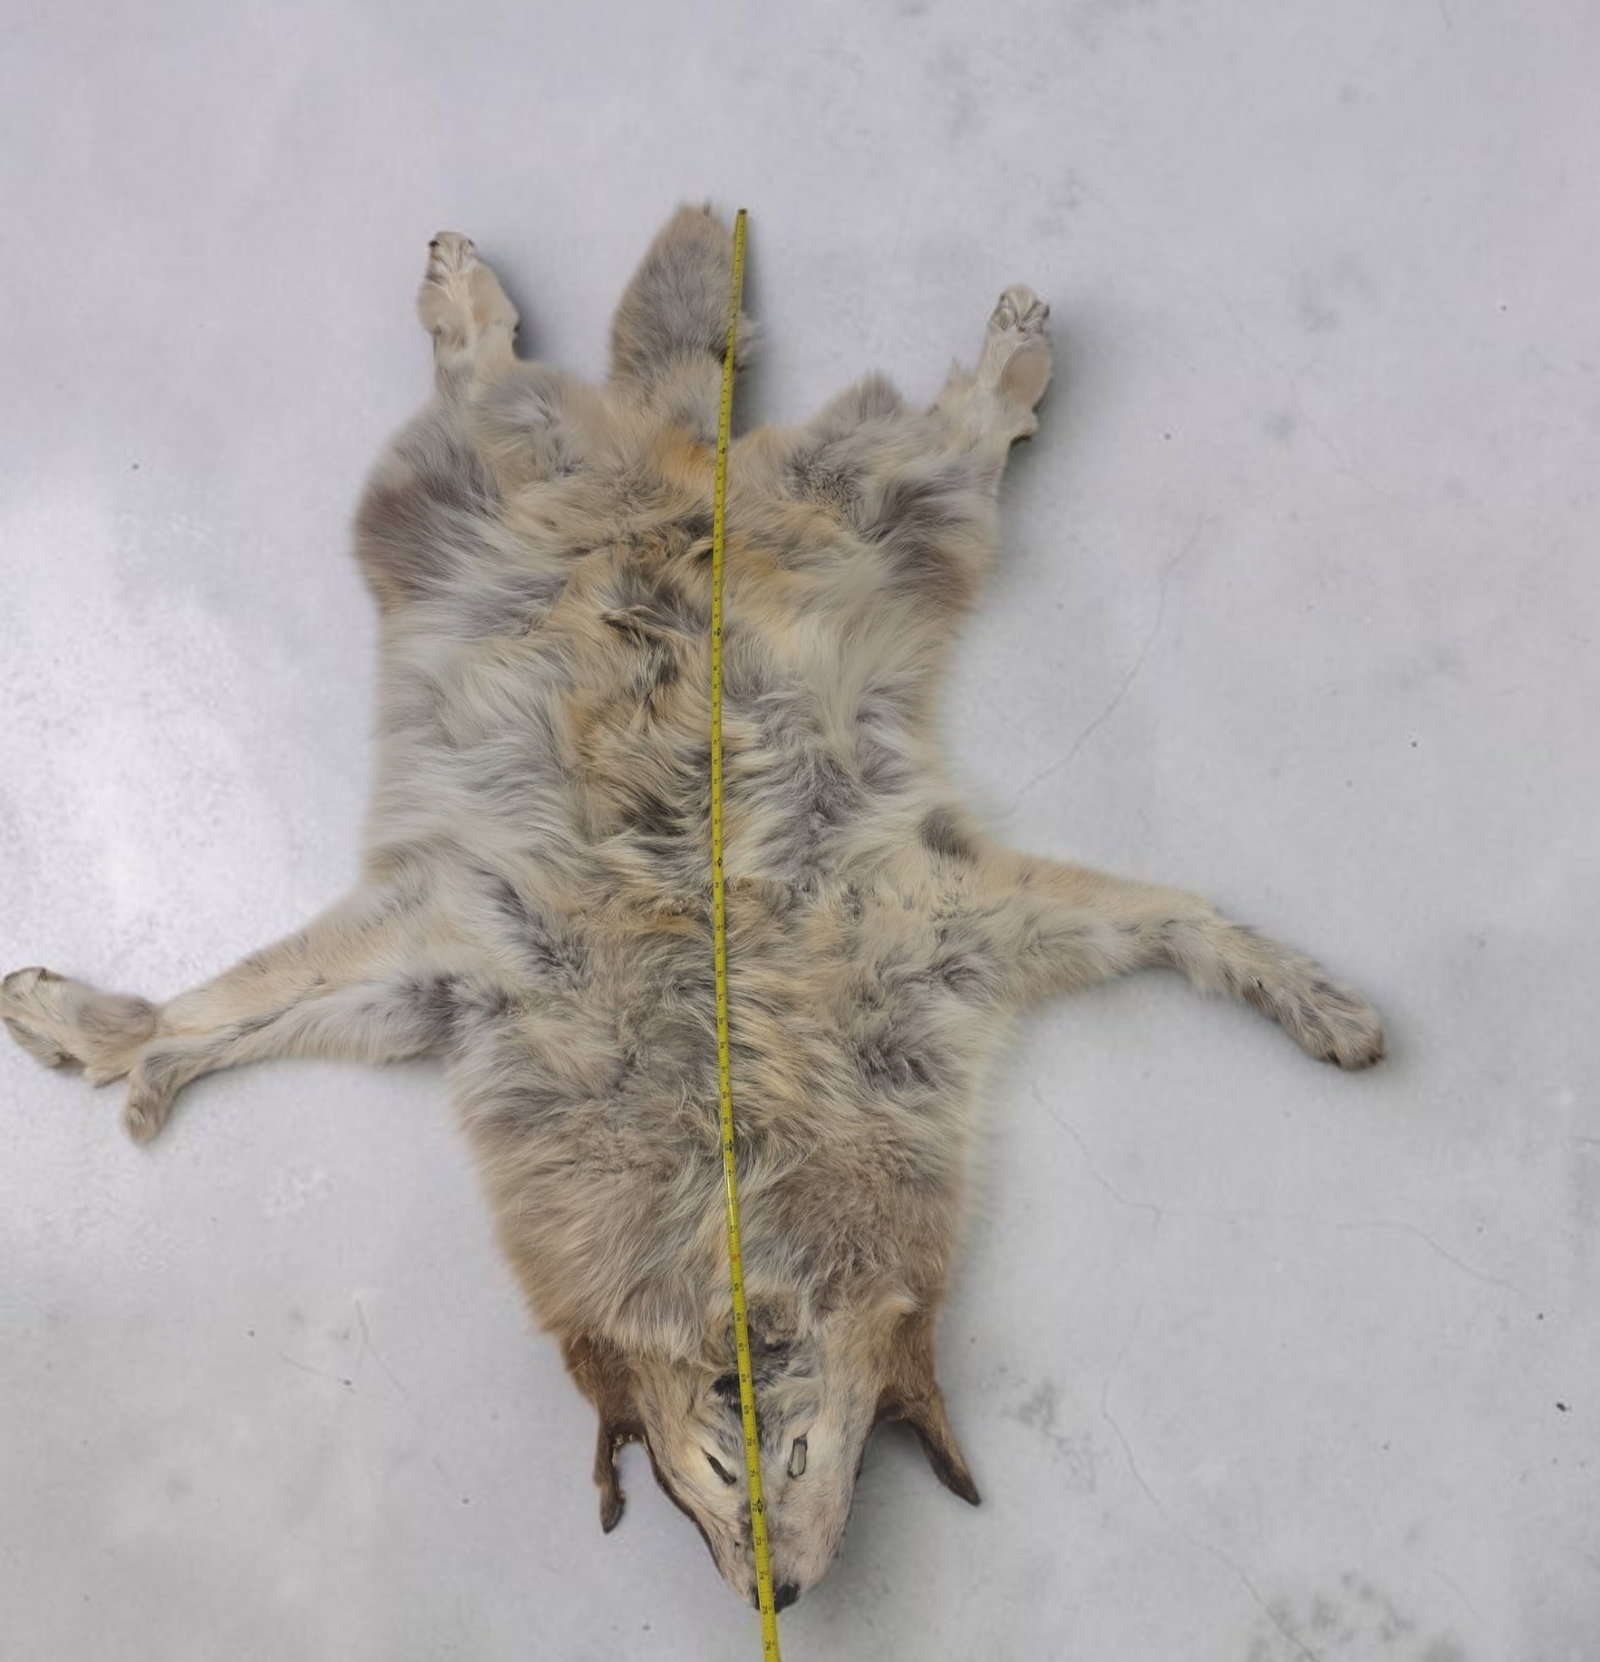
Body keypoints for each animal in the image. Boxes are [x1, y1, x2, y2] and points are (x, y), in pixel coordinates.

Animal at [1, 206, 1384, 1610]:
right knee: (496, 387)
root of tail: (680, 453)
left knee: (949, 438)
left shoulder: (941, 923)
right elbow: (221, 1015)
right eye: (704, 1483)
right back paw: (474, 297)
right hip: (521, 488)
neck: (727, 1152)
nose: (782, 1594)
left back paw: (997, 354)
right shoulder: (462, 955)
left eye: (831, 1465)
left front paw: (1313, 998)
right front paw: (94, 1033)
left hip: (879, 516)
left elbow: (1178, 919)